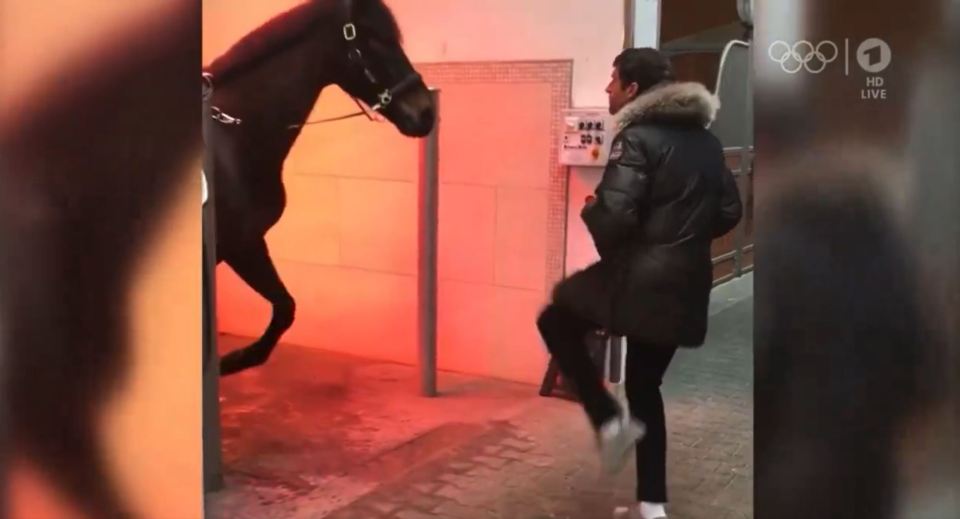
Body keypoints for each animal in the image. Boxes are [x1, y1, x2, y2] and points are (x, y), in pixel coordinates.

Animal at [206, 0, 438, 376]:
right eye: (374, 38)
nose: (426, 113)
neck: (236, 136)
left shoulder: (247, 242)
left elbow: (286, 307)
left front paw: (234, 360)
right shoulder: (237, 246)